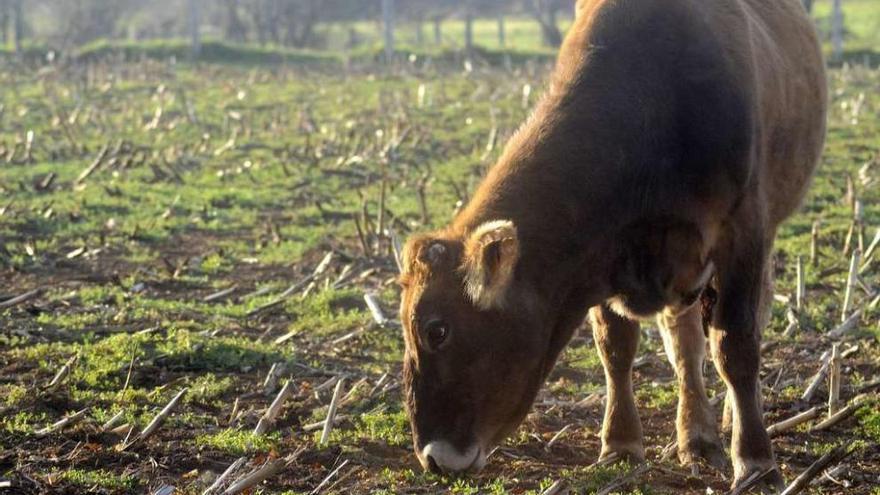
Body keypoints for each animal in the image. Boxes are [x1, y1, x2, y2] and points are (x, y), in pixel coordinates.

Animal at [398, 0, 824, 490]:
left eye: (437, 331)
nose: (433, 457)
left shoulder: (743, 231)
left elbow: (736, 346)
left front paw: (755, 461)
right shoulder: (604, 251)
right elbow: (617, 348)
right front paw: (621, 443)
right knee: (685, 346)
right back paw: (697, 435)